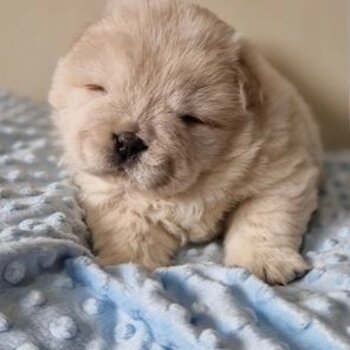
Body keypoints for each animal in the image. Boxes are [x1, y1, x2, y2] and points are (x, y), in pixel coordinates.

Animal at [49, 0, 322, 284]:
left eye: (190, 118)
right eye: (98, 89)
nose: (128, 141)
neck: (189, 187)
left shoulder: (284, 174)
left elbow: (263, 217)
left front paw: (265, 265)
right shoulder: (110, 195)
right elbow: (132, 229)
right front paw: (129, 265)